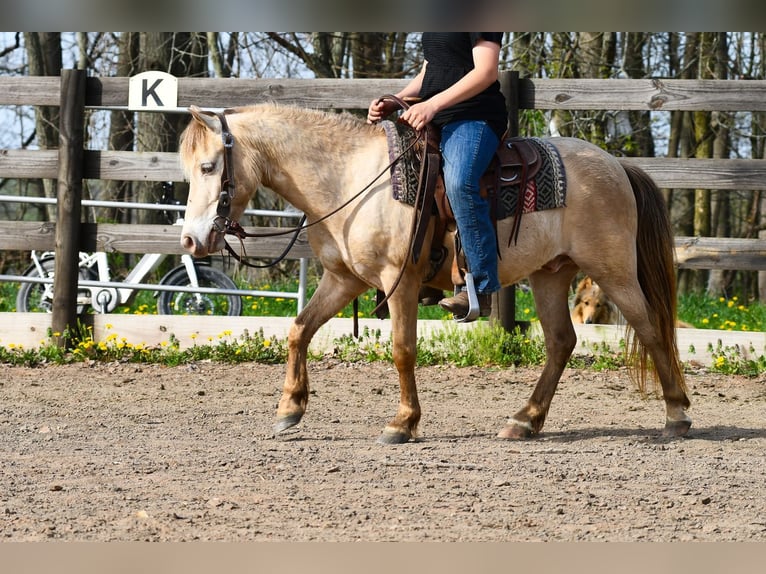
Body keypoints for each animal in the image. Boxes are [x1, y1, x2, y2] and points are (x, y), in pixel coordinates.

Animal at [178, 102, 691, 444]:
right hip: (550, 274)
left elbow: (403, 350)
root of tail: (616, 165)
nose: (190, 241)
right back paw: (524, 420)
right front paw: (289, 408)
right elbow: (299, 330)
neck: (350, 178)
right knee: (562, 341)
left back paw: (677, 415)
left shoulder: (399, 281)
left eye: (209, 166)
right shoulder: (343, 279)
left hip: (614, 271)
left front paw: (402, 423)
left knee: (651, 329)